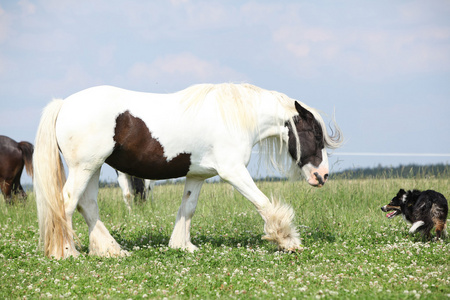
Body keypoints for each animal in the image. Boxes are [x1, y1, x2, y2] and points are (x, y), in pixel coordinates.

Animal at [33, 83, 342, 258]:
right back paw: (66, 252)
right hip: (84, 167)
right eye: (315, 133)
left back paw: (111, 250)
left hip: (93, 167)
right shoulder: (233, 172)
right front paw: (287, 240)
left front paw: (182, 246)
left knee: (87, 204)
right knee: (67, 203)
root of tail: (64, 104)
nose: (323, 176)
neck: (234, 117)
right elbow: (264, 203)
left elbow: (187, 209)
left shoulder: (197, 175)